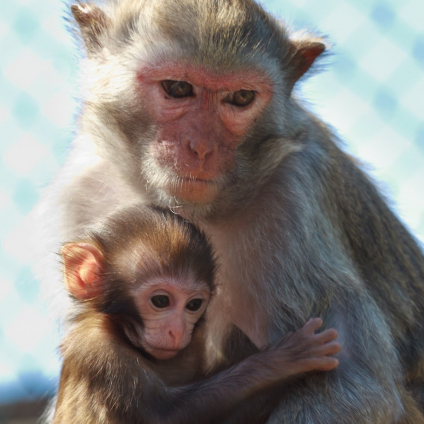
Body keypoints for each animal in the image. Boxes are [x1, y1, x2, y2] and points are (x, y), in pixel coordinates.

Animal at [54, 204, 342, 422]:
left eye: (193, 305)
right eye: (161, 300)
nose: (177, 330)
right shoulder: (96, 349)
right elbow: (165, 416)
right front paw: (283, 360)